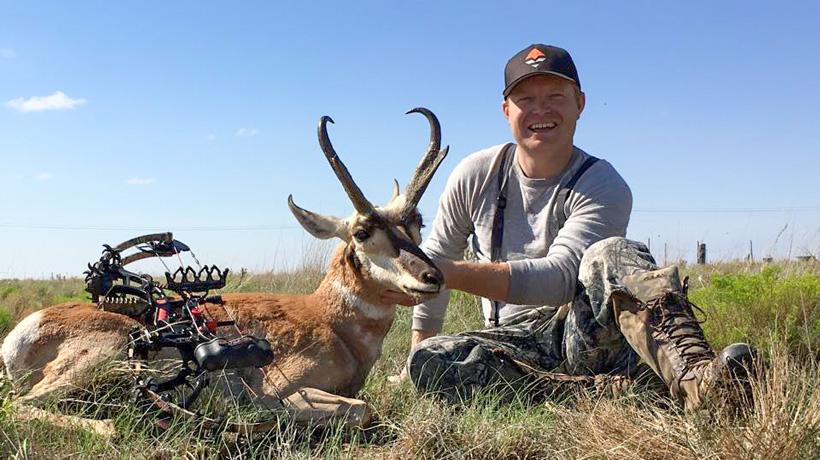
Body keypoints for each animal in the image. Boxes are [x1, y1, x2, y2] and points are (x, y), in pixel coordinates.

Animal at [0, 108, 448, 433]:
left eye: (417, 221)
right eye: (362, 231)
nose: (432, 277)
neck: (329, 320)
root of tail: (28, 326)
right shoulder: (286, 389)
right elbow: (362, 409)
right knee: (21, 405)